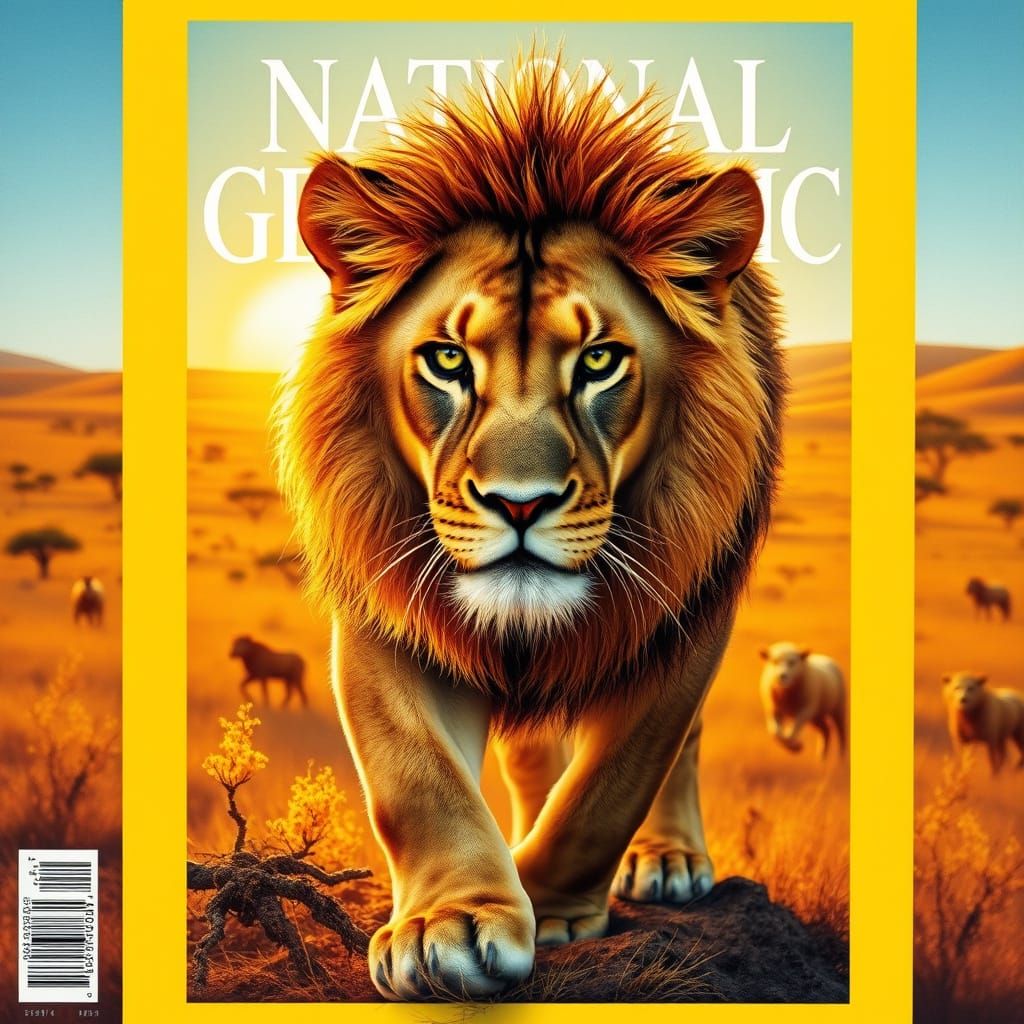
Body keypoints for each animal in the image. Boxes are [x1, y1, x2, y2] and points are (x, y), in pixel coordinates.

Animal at [276, 58, 785, 1000]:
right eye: (447, 359)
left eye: (599, 361)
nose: (520, 504)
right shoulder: (385, 614)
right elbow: (416, 777)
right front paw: (451, 924)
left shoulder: (685, 617)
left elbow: (611, 786)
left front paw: (547, 910)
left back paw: (666, 858)